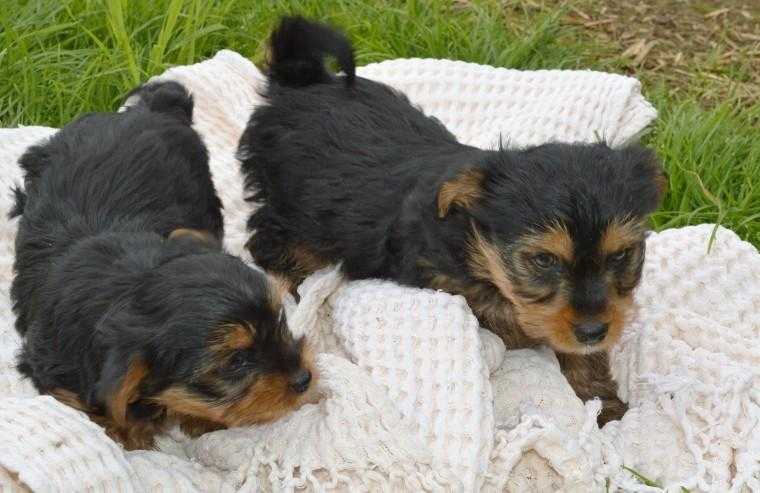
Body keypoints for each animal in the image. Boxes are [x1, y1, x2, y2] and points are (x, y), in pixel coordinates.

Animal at [9, 81, 312, 450]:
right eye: (237, 361)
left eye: (280, 320)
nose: (304, 378)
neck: (125, 283)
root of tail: (148, 109)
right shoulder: (54, 366)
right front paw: (127, 430)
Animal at [239, 16, 664, 422]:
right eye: (544, 260)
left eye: (620, 256)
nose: (594, 331)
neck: (471, 241)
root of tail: (300, 81)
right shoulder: (442, 281)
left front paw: (603, 400)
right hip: (286, 208)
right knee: (270, 244)